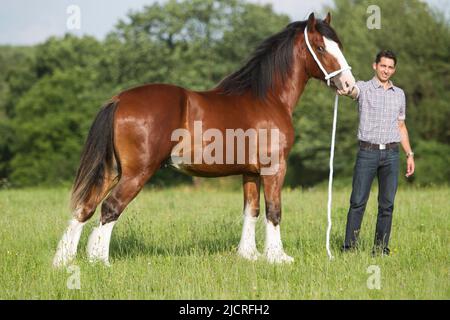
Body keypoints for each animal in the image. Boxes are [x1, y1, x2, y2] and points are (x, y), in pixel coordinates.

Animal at [52, 13, 356, 268]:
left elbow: (252, 210)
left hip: (112, 170)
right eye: (320, 48)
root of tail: (119, 99)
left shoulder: (250, 172)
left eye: (339, 45)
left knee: (85, 207)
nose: (349, 86)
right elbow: (274, 210)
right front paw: (277, 257)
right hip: (136, 173)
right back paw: (100, 262)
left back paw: (63, 261)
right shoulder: (274, 168)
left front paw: (249, 255)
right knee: (110, 208)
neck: (267, 99)